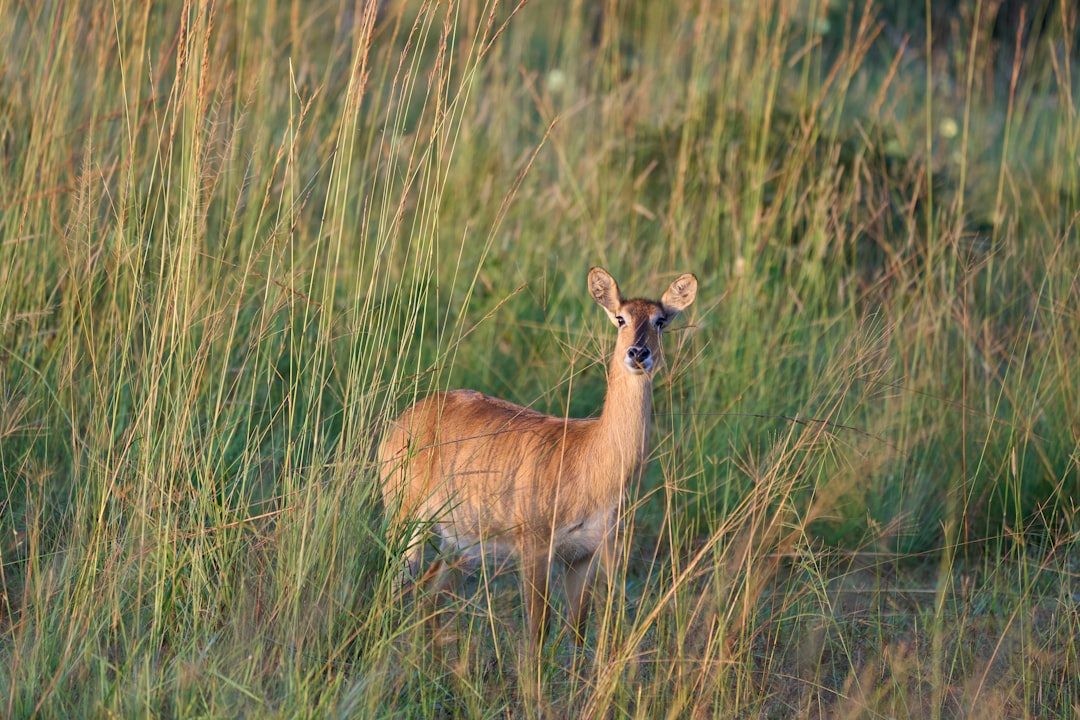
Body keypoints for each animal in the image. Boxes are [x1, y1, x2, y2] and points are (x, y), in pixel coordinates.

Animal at [378, 267, 698, 648]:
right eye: (620, 318)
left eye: (660, 320)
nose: (638, 353)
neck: (589, 457)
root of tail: (406, 417)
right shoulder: (536, 549)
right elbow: (537, 634)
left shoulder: (584, 556)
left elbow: (577, 632)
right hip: (407, 521)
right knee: (397, 587)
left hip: (462, 542)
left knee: (429, 596)